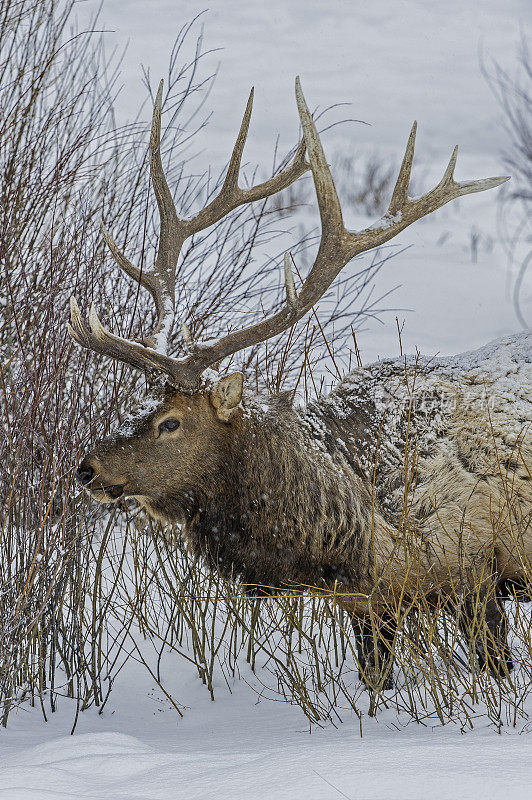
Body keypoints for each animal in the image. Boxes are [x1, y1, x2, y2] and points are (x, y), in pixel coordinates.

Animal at [70, 79, 532, 688]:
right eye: (141, 406)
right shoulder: (368, 605)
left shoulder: (475, 568)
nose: (88, 466)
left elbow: (495, 673)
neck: (360, 540)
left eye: (170, 422)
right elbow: (375, 683)